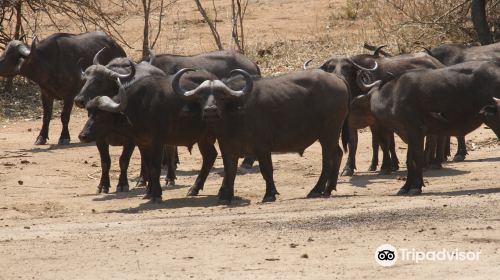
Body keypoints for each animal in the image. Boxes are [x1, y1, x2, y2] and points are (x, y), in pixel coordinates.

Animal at [171, 68, 348, 203]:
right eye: (201, 97)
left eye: (221, 97)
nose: (210, 111)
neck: (235, 118)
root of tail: (337, 78)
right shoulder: (227, 148)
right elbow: (230, 171)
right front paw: (227, 196)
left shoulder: (262, 147)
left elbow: (266, 169)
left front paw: (270, 194)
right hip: (331, 134)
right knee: (338, 154)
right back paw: (329, 188)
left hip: (328, 133)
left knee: (327, 160)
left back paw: (316, 189)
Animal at [352, 60, 500, 196]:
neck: (392, 96)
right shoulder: (408, 134)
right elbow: (409, 160)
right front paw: (405, 187)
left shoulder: (416, 130)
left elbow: (416, 159)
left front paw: (415, 187)